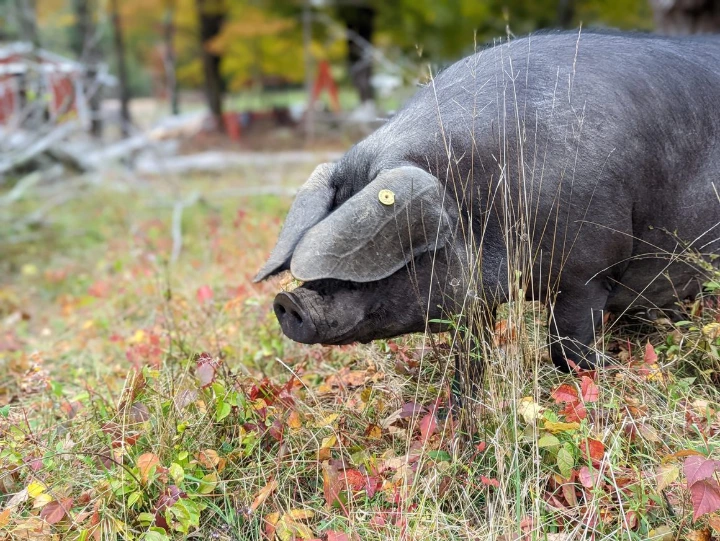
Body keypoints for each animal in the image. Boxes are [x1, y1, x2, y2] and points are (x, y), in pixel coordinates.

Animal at [255, 30, 720, 372]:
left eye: (386, 258)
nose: (287, 301)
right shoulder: (475, 300)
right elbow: (471, 355)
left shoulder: (588, 271)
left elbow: (567, 348)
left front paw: (609, 371)